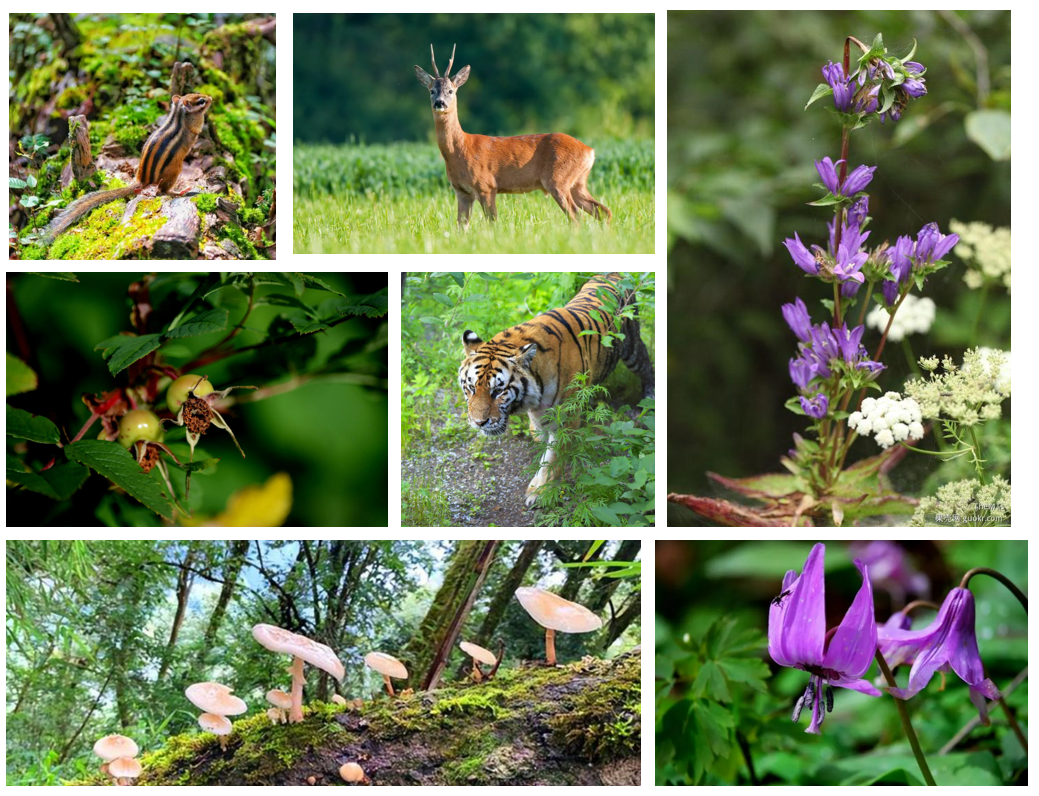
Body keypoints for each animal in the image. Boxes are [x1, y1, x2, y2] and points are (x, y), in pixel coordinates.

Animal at [411, 45, 606, 228]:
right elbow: (461, 226)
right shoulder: (462, 192)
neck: (460, 149)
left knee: (576, 216)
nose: (440, 103)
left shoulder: (486, 186)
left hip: (558, 179)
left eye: (451, 91)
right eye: (432, 91)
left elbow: (493, 222)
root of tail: (590, 151)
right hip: (577, 182)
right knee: (602, 211)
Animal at [457, 274, 652, 507]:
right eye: (470, 388)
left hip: (632, 347)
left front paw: (540, 490)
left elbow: (553, 456)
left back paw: (650, 398)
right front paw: (537, 435)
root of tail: (613, 274)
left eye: (498, 391)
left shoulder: (565, 415)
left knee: (647, 365)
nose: (478, 423)